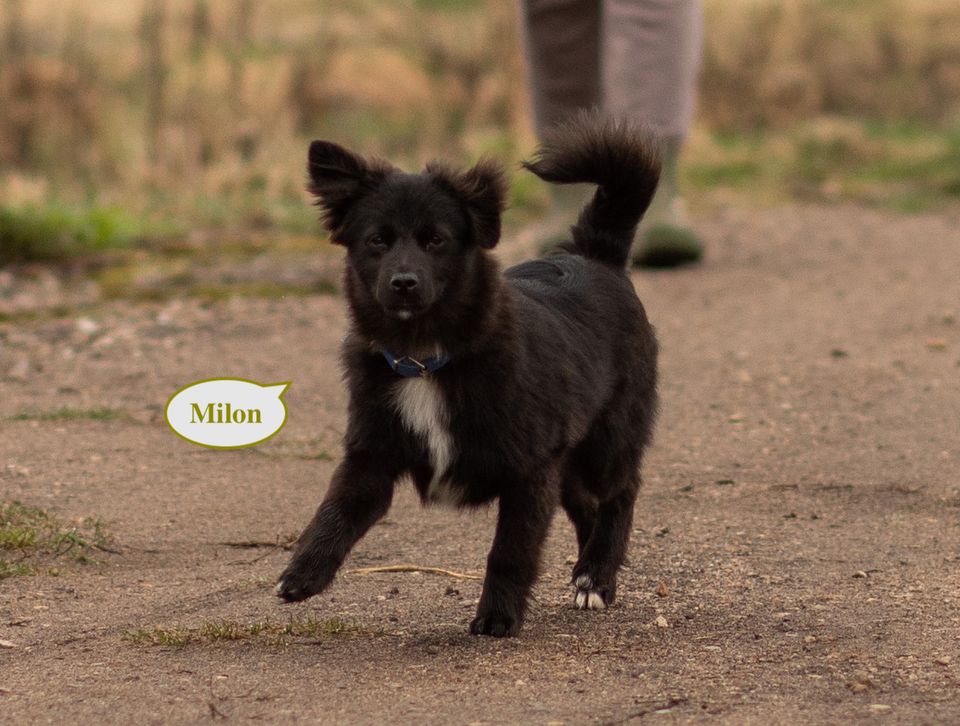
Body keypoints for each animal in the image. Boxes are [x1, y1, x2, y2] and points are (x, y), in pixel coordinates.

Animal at [278, 112, 660, 636]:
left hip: (607, 439)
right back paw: (588, 574)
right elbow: (333, 511)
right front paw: (303, 573)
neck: (424, 359)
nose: (403, 283)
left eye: (436, 240)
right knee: (587, 505)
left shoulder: (530, 470)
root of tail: (596, 255)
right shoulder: (371, 456)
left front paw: (498, 617)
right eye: (377, 240)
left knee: (620, 495)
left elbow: (511, 551)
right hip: (570, 456)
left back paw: (597, 576)